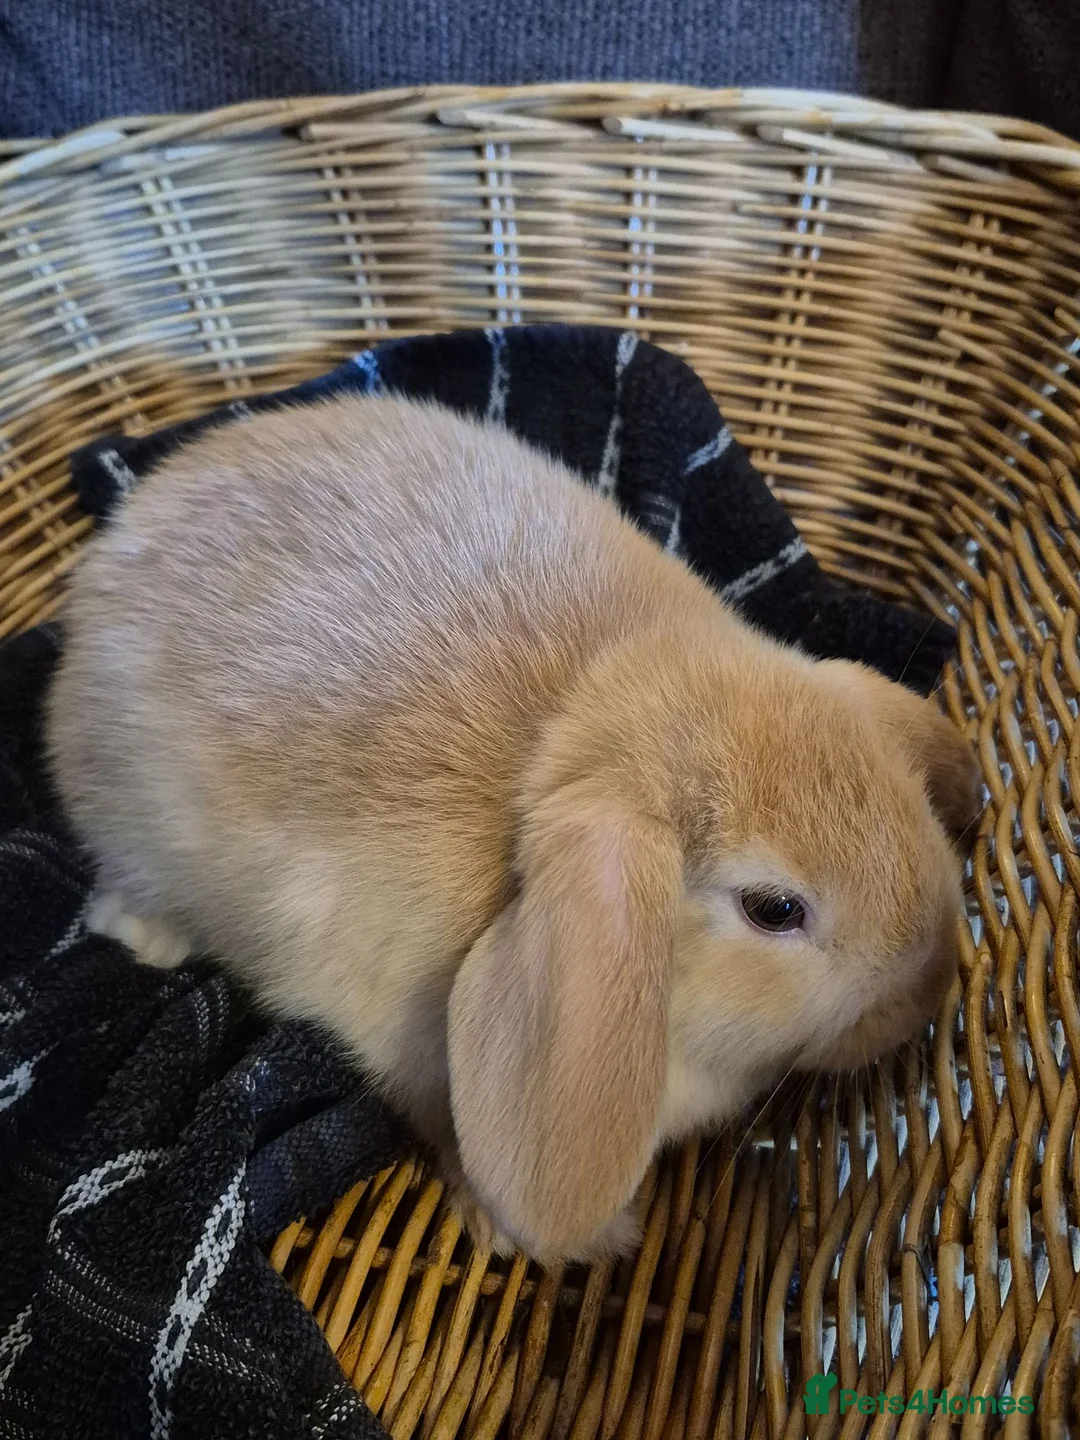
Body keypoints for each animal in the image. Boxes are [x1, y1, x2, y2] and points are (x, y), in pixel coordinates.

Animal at [46, 393, 979, 1262]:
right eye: (774, 910)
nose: (926, 991)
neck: (579, 719)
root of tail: (119, 540)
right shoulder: (400, 1032)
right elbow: (448, 1124)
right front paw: (565, 1236)